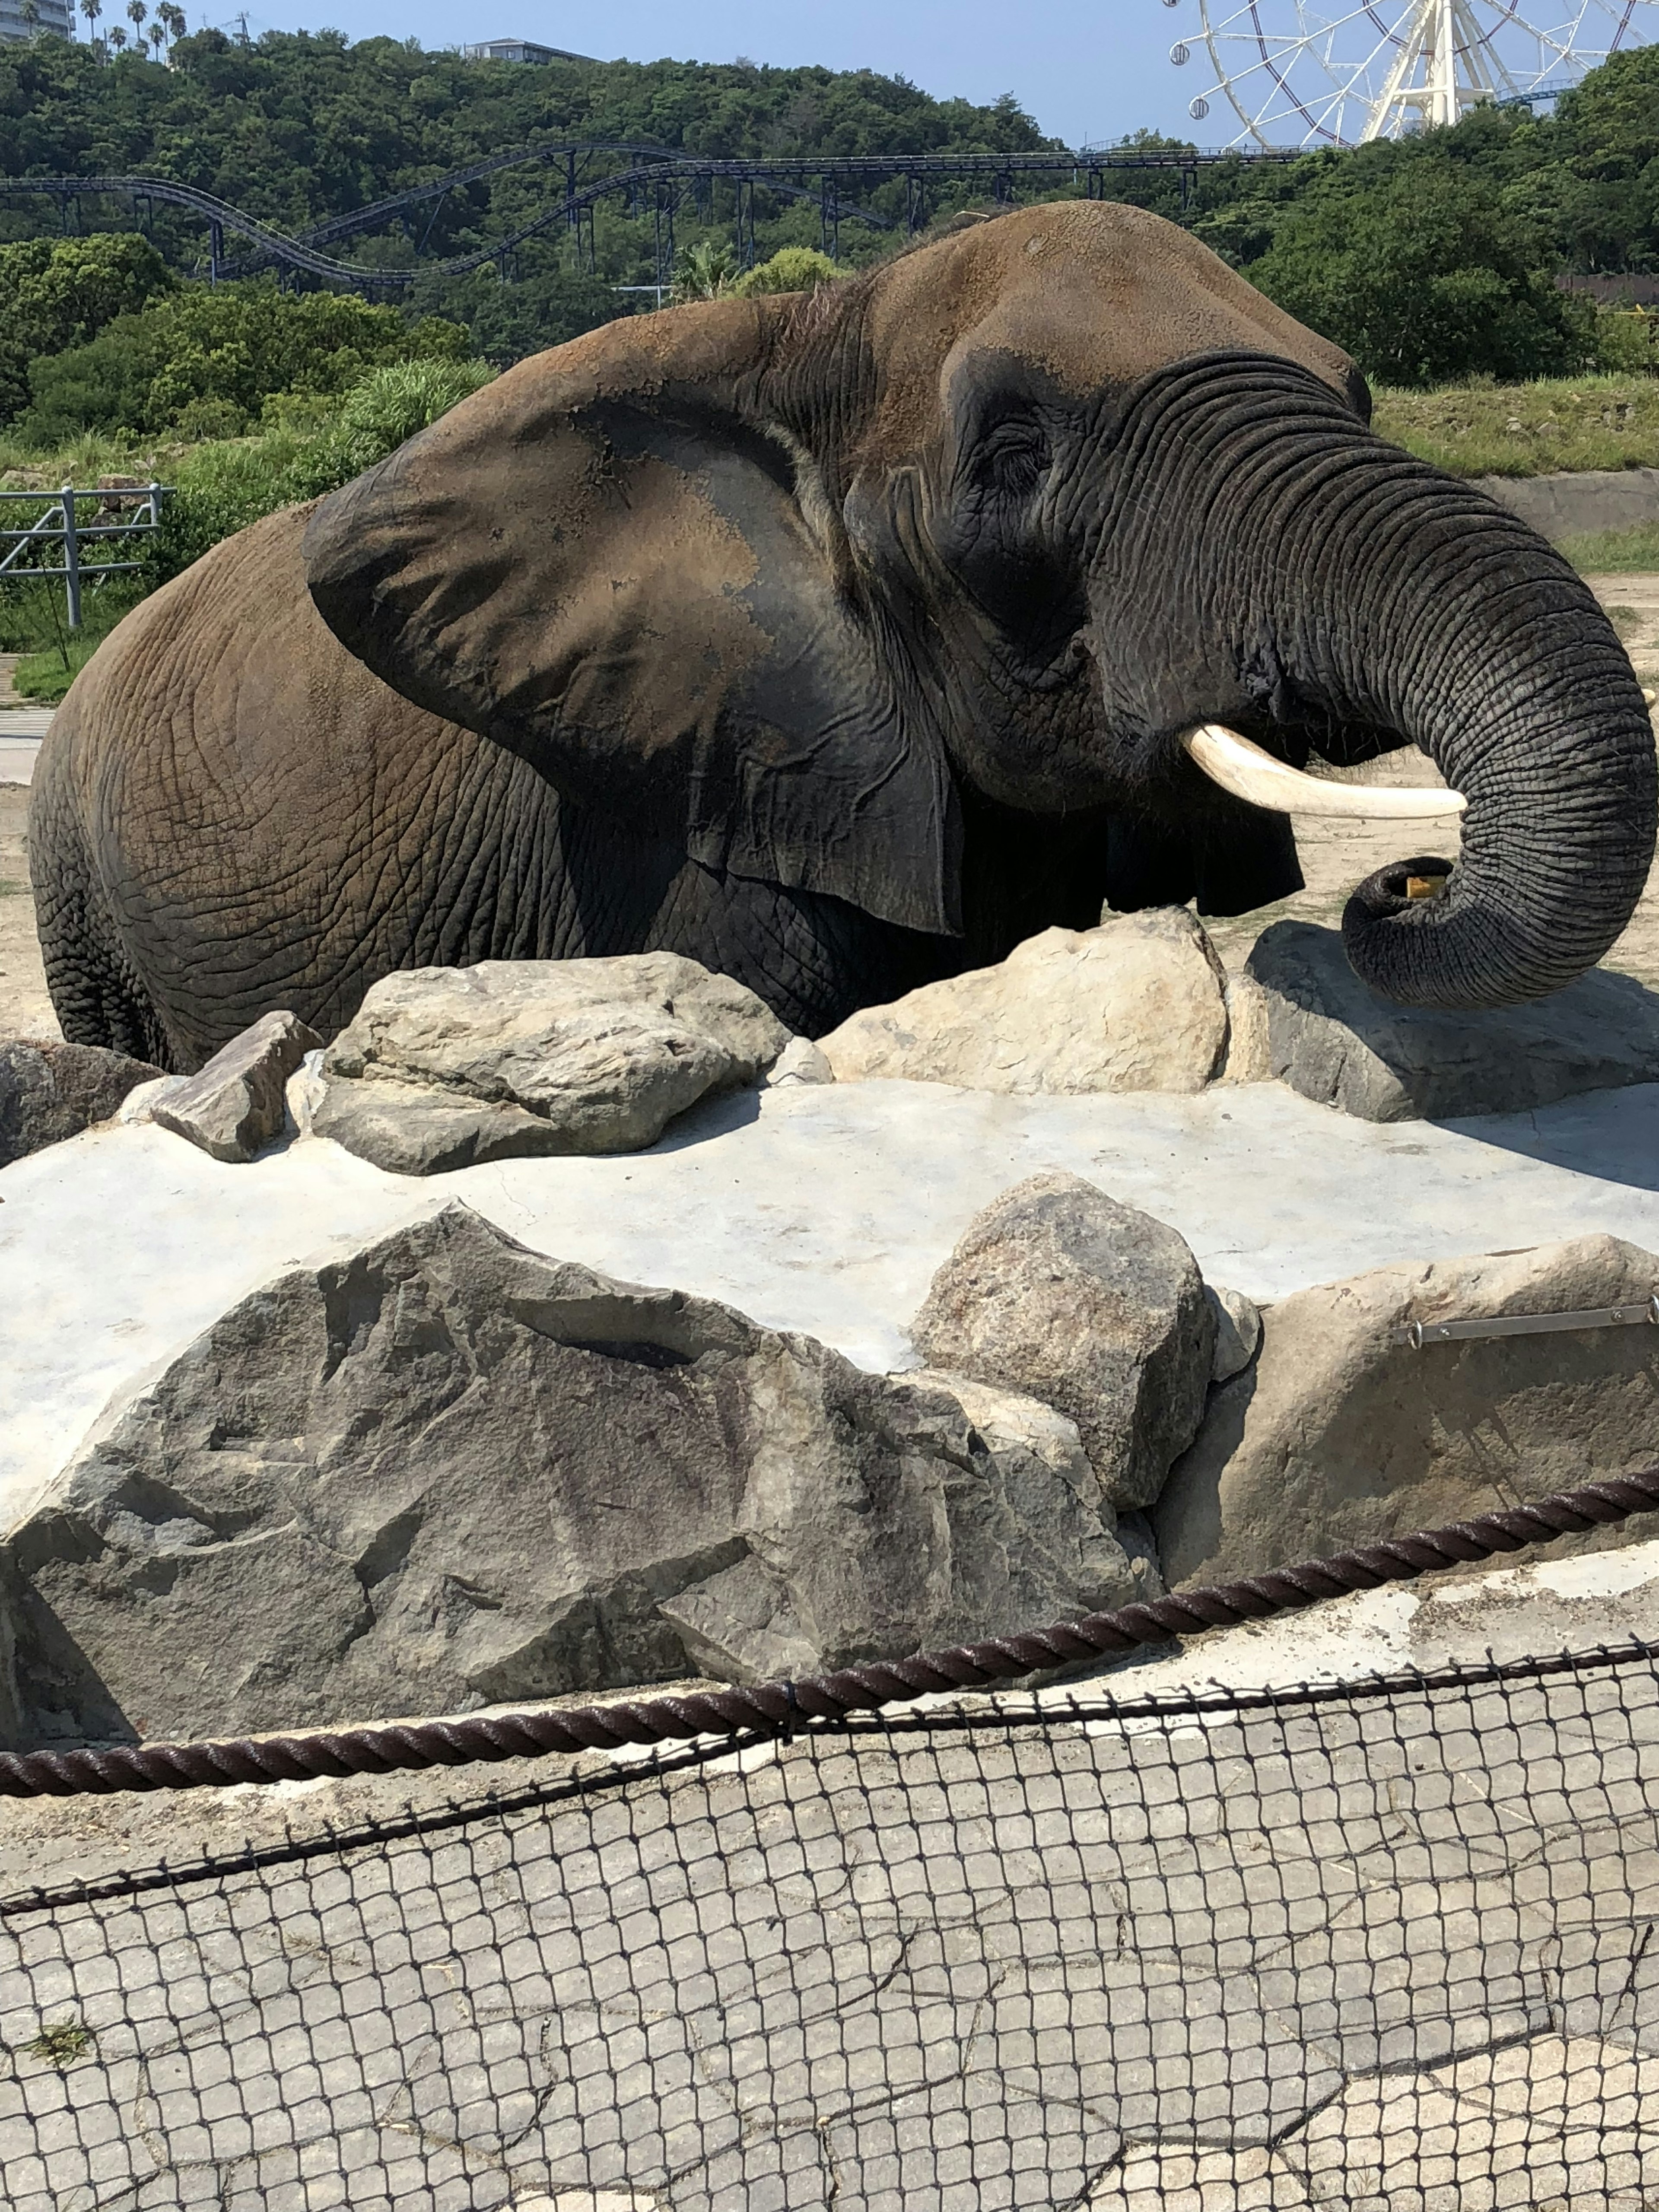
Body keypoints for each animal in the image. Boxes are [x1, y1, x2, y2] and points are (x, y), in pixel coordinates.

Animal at [29, 194, 1659, 1075]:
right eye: (1011, 459)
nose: (1408, 879)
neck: (825, 318)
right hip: (71, 874)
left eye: (1360, 392)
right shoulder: (704, 807)